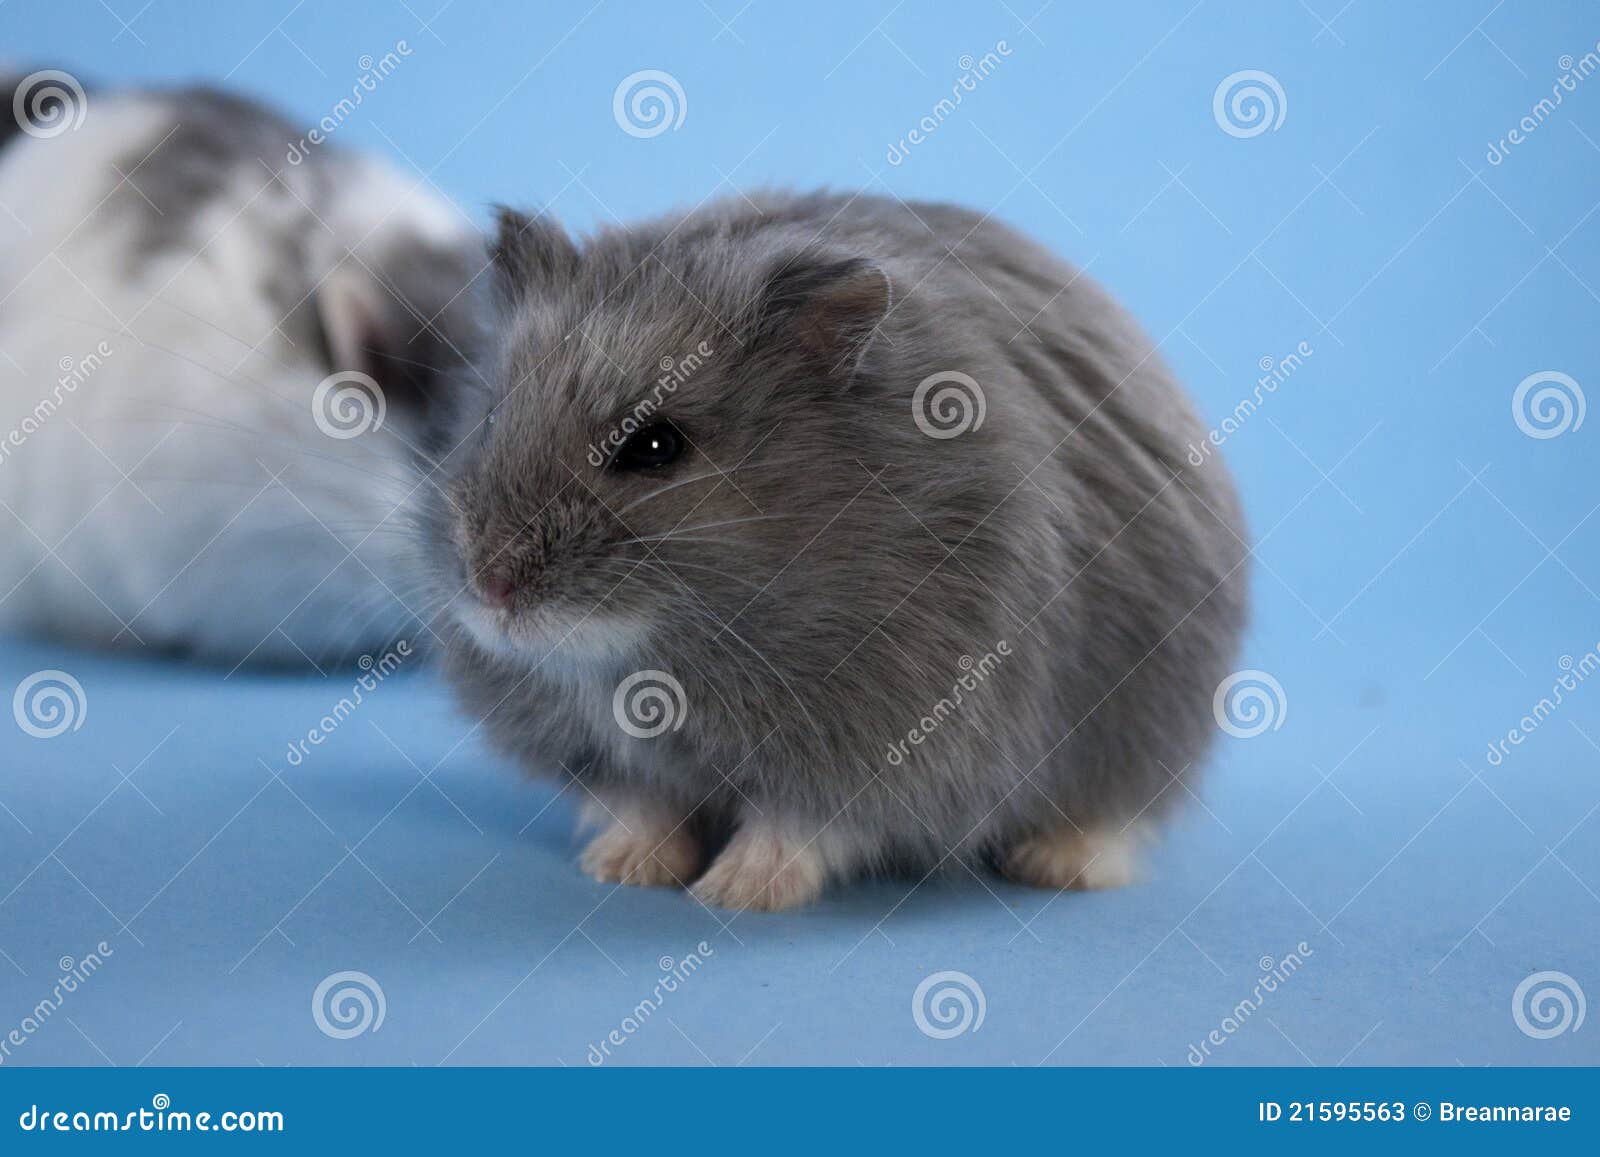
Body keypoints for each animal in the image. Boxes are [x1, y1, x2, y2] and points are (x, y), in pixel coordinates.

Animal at [424, 191, 1248, 910]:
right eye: (492, 417)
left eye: (655, 446)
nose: (489, 591)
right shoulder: (600, 750)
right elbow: (646, 806)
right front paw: (620, 869)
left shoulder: (889, 746)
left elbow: (797, 828)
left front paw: (733, 894)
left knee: (1114, 816)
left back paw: (1056, 865)